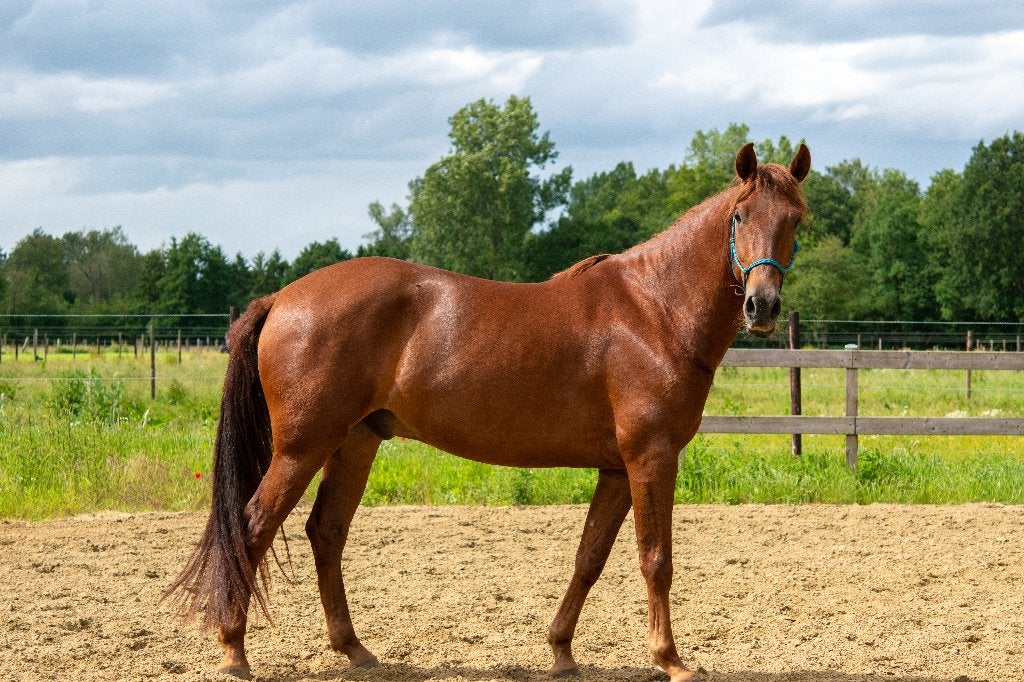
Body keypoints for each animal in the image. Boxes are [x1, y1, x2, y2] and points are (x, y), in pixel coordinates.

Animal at [166, 142, 810, 681]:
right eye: (739, 217)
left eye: (795, 220)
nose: (762, 306)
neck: (653, 310)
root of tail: (282, 298)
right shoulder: (650, 459)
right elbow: (656, 559)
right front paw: (671, 660)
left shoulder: (615, 469)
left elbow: (589, 558)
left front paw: (561, 651)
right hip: (302, 448)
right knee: (251, 527)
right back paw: (234, 651)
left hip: (354, 442)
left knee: (325, 532)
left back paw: (355, 650)